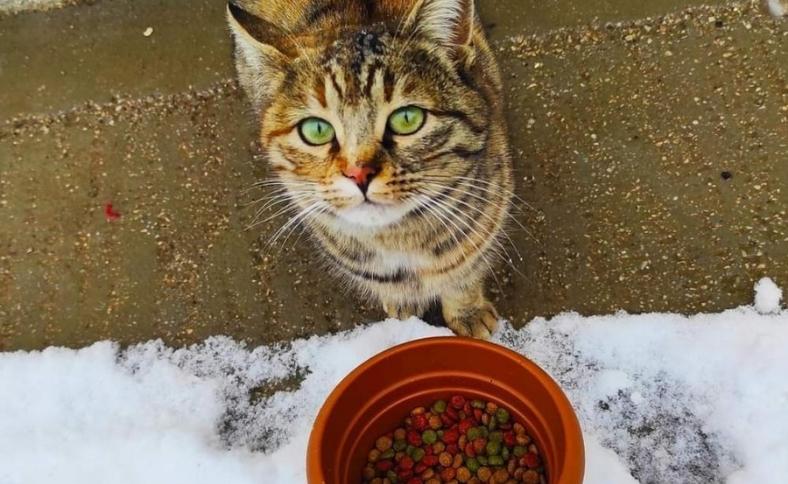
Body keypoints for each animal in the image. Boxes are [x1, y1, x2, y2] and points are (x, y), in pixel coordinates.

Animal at [225, 0, 516, 340]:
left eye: (407, 118)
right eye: (316, 130)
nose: (358, 173)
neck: (400, 238)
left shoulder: (486, 215)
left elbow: (463, 269)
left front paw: (468, 312)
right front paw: (403, 305)